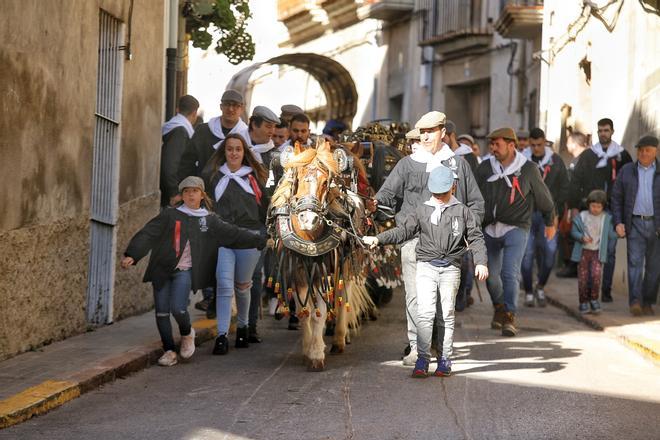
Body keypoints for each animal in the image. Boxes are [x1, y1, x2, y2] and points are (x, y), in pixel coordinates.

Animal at [264, 140, 376, 368]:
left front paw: (316, 353)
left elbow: (320, 312)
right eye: (298, 178)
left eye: (326, 182)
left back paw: (339, 338)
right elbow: (304, 311)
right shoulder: (298, 270)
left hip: (344, 266)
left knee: (342, 296)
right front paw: (308, 348)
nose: (309, 219)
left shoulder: (325, 269)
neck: (308, 235)